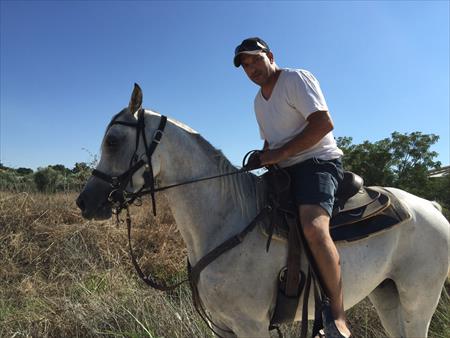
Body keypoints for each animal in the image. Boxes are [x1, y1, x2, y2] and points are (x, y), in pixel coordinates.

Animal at [78, 86, 450, 336]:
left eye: (112, 140)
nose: (85, 202)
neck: (226, 222)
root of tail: (431, 207)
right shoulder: (224, 327)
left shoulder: (250, 325)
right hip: (387, 296)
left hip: (418, 301)